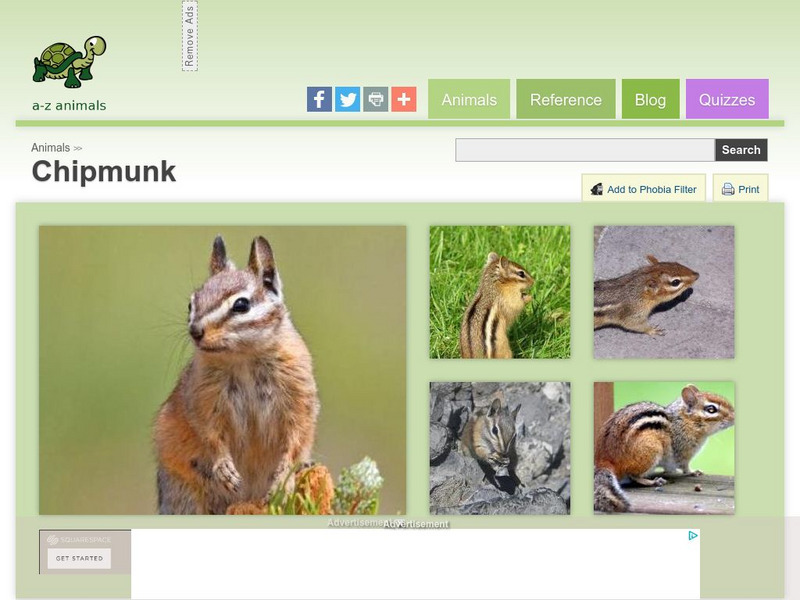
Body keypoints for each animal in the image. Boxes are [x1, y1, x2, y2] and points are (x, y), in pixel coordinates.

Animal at [153, 235, 320, 515]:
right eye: (191, 303)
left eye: (241, 305)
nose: (195, 331)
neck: (243, 358)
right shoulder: (202, 398)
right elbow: (210, 435)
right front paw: (224, 469)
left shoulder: (299, 398)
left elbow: (296, 439)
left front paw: (283, 480)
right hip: (183, 496)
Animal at [594, 384, 734, 513]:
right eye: (711, 409)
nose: (734, 416)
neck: (685, 421)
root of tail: (605, 459)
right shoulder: (683, 452)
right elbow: (685, 467)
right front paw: (693, 472)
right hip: (651, 451)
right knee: (633, 475)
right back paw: (653, 482)